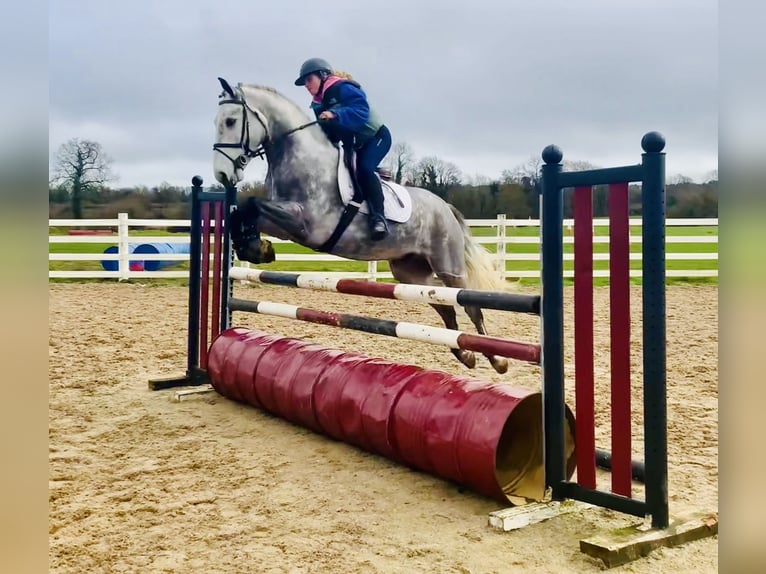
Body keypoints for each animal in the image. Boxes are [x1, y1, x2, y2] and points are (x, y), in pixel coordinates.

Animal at [212, 77, 510, 374]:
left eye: (230, 121)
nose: (223, 175)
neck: (301, 158)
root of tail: (445, 207)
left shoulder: (307, 223)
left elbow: (253, 204)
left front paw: (256, 247)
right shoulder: (284, 224)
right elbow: (245, 212)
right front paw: (256, 248)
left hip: (449, 266)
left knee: (469, 305)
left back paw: (497, 359)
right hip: (411, 272)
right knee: (442, 302)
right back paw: (465, 355)